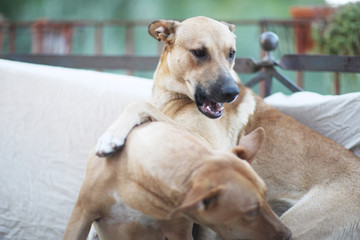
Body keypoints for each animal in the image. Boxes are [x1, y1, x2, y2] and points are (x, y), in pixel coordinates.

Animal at [95, 15, 360, 239]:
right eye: (199, 52)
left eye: (231, 53)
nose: (232, 93)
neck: (176, 100)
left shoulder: (208, 149)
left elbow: (139, 104)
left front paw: (110, 137)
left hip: (297, 224)